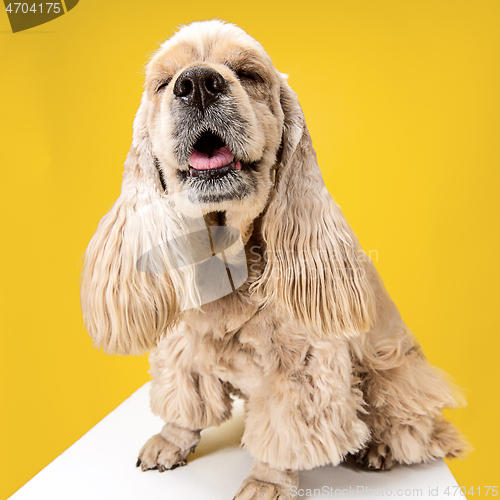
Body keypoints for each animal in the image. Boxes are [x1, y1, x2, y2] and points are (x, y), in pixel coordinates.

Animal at [81, 19, 468, 500]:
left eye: (249, 74)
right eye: (164, 82)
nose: (198, 84)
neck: (227, 255)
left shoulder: (302, 367)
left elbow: (285, 433)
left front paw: (266, 483)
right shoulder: (186, 343)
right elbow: (185, 400)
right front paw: (171, 440)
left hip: (394, 369)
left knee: (413, 423)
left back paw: (379, 448)